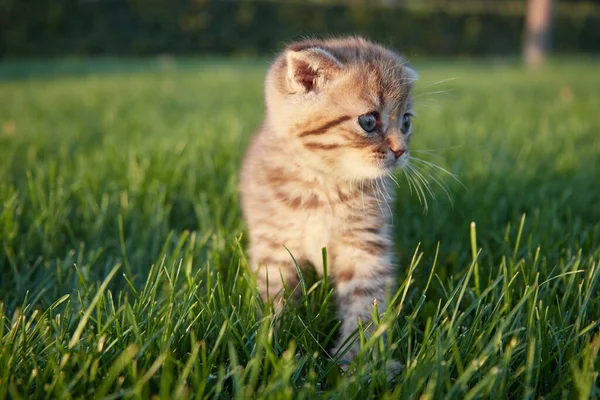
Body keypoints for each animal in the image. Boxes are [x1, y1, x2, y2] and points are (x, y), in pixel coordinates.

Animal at [239, 37, 418, 366]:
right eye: (368, 121)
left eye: (406, 122)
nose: (401, 151)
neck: (323, 186)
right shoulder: (275, 244)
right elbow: (274, 296)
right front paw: (268, 344)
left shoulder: (364, 245)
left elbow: (366, 303)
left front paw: (362, 359)